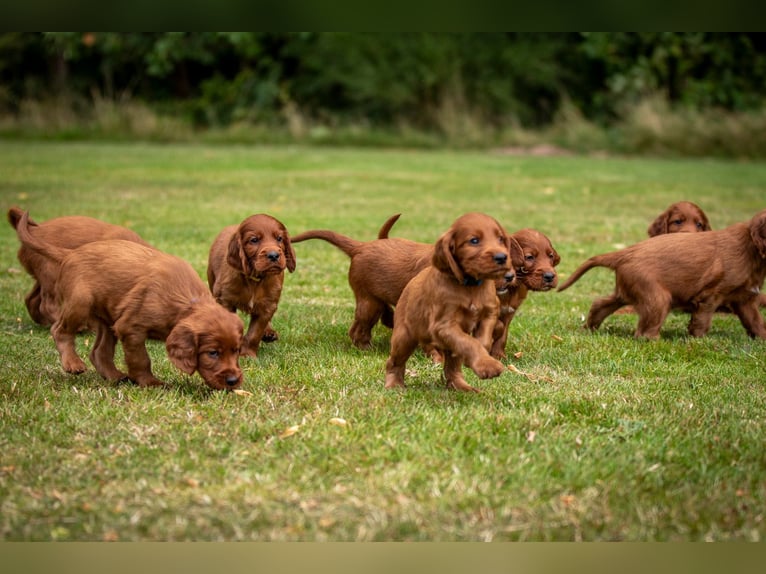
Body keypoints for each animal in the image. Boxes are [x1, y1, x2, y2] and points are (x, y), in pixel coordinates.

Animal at [207, 216, 296, 360]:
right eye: (254, 240)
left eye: (279, 238)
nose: (273, 255)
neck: (255, 279)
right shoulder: (225, 300)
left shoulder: (268, 305)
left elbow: (255, 332)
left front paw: (247, 354)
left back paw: (268, 332)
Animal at [384, 214, 516, 394]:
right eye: (474, 241)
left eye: (500, 239)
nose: (502, 257)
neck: (471, 286)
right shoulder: (444, 325)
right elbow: (470, 342)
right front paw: (487, 365)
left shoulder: (489, 313)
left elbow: (482, 341)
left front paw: (479, 360)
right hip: (403, 337)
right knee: (393, 361)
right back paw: (393, 385)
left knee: (452, 369)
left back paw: (462, 387)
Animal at [560, 209, 766, 340]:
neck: (751, 248)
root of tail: (625, 253)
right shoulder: (711, 295)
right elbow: (702, 321)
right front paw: (699, 340)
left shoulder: (745, 299)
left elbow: (755, 321)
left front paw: (761, 338)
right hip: (657, 297)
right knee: (643, 332)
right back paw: (657, 341)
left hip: (626, 290)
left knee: (601, 304)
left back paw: (590, 327)